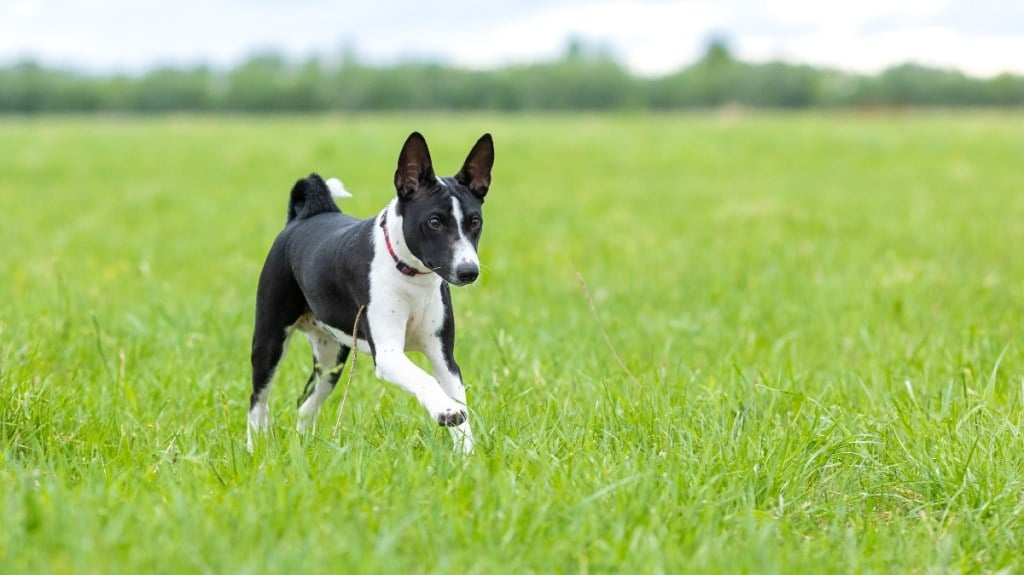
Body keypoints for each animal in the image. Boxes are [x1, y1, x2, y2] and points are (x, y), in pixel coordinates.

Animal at [243, 130, 491, 452]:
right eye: (434, 221)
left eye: (475, 222)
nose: (468, 271)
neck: (412, 278)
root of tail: (305, 216)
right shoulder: (388, 354)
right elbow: (426, 381)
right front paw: (445, 410)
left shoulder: (443, 357)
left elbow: (460, 408)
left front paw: (467, 457)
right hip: (270, 341)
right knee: (258, 401)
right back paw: (254, 450)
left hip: (332, 358)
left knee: (305, 403)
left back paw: (304, 449)